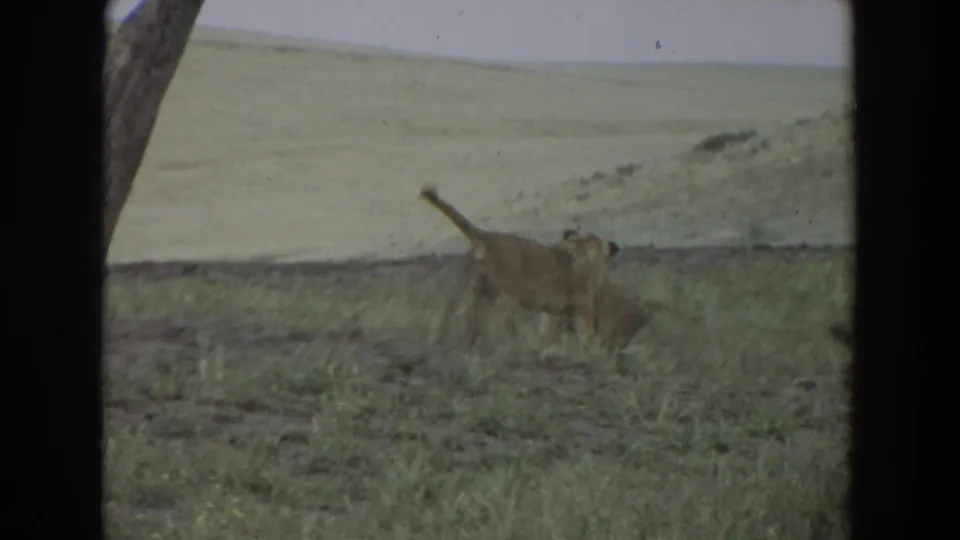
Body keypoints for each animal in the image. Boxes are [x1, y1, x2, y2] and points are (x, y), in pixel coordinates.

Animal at [419, 184, 619, 350]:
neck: (585, 247)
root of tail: (486, 236)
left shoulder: (555, 311)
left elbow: (547, 334)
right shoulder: (582, 306)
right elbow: (586, 335)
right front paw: (593, 352)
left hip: (473, 288)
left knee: (452, 311)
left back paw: (446, 344)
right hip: (505, 295)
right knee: (491, 322)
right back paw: (494, 349)